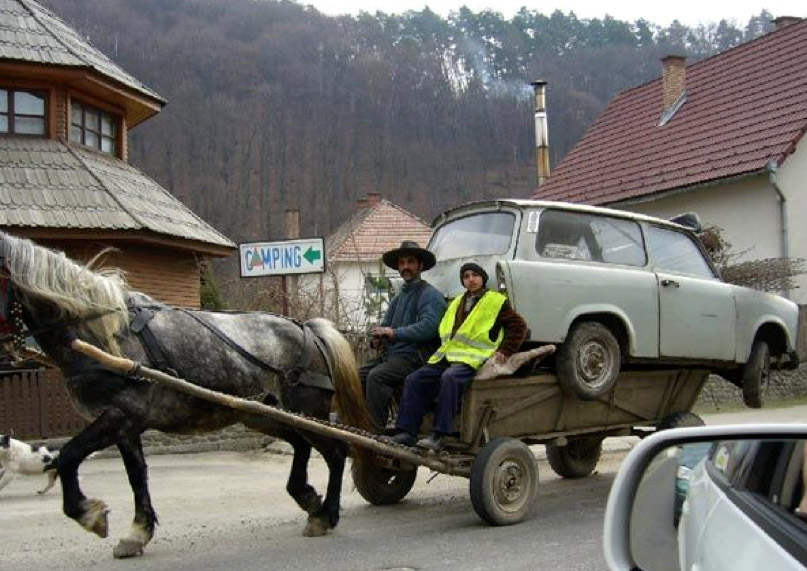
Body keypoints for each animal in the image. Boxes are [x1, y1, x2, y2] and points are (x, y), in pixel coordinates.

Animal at [0, 231, 372, 560]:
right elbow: (136, 478)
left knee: (336, 452)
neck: (102, 337)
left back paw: (327, 513)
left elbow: (67, 456)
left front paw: (88, 514)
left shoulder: (119, 415)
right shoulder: (126, 427)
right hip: (262, 415)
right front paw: (137, 533)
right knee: (301, 445)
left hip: (307, 411)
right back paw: (307, 499)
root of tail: (307, 328)